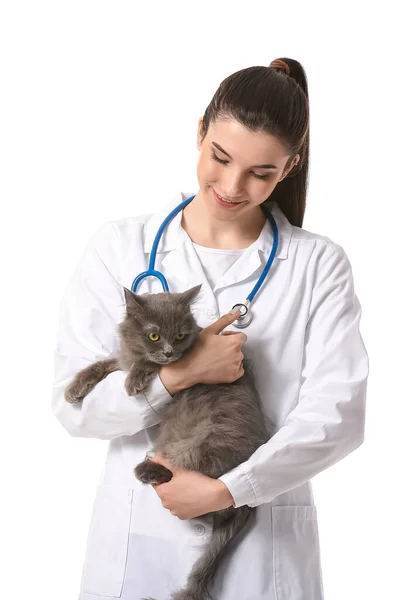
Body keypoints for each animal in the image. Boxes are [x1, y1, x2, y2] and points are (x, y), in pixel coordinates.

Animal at [64, 284, 270, 600]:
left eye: (181, 336)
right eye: (154, 335)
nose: (169, 352)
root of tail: (245, 507)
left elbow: (145, 362)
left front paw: (135, 379)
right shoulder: (122, 357)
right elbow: (106, 362)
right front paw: (75, 388)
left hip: (207, 440)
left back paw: (147, 470)